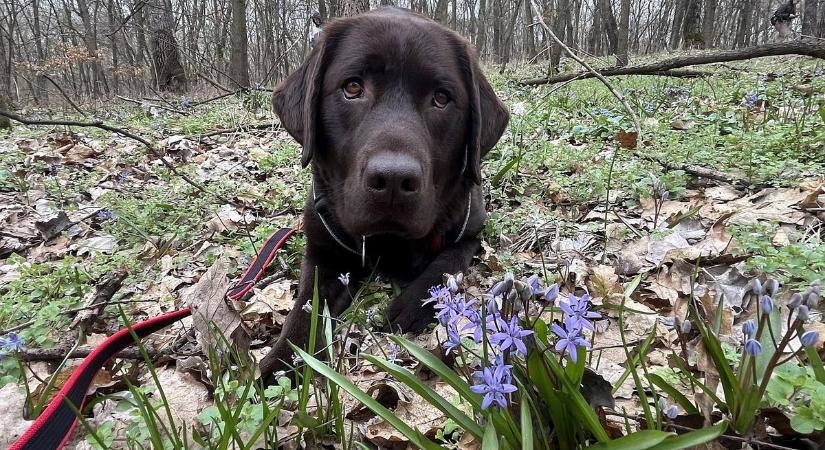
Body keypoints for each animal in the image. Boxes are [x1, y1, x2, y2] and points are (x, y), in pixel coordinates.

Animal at [260, 7, 508, 380]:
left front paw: (413, 305)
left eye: (441, 98)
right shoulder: (321, 252)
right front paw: (282, 362)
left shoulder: (471, 232)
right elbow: (307, 306)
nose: (393, 179)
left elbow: (445, 263)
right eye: (352, 87)